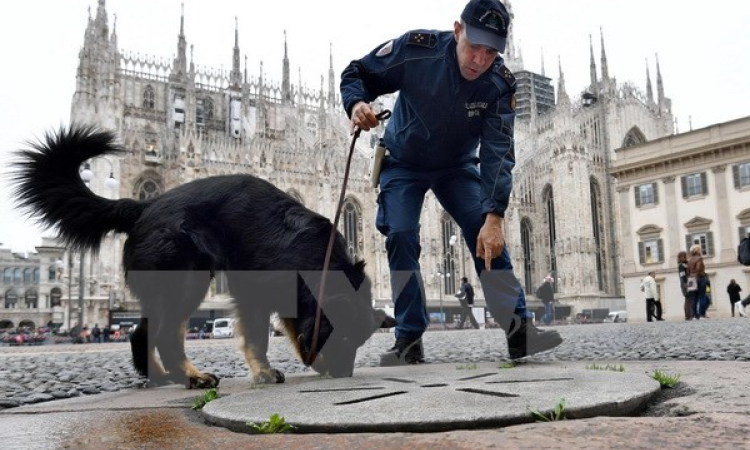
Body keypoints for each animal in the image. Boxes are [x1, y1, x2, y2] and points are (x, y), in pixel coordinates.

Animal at [13, 125, 400, 386]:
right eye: (345, 338)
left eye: (357, 342)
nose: (344, 374)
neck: (318, 259)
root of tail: (143, 205)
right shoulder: (254, 292)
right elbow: (260, 336)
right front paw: (264, 371)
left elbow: (292, 331)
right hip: (186, 281)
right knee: (164, 335)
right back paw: (191, 377)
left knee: (144, 333)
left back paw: (163, 377)